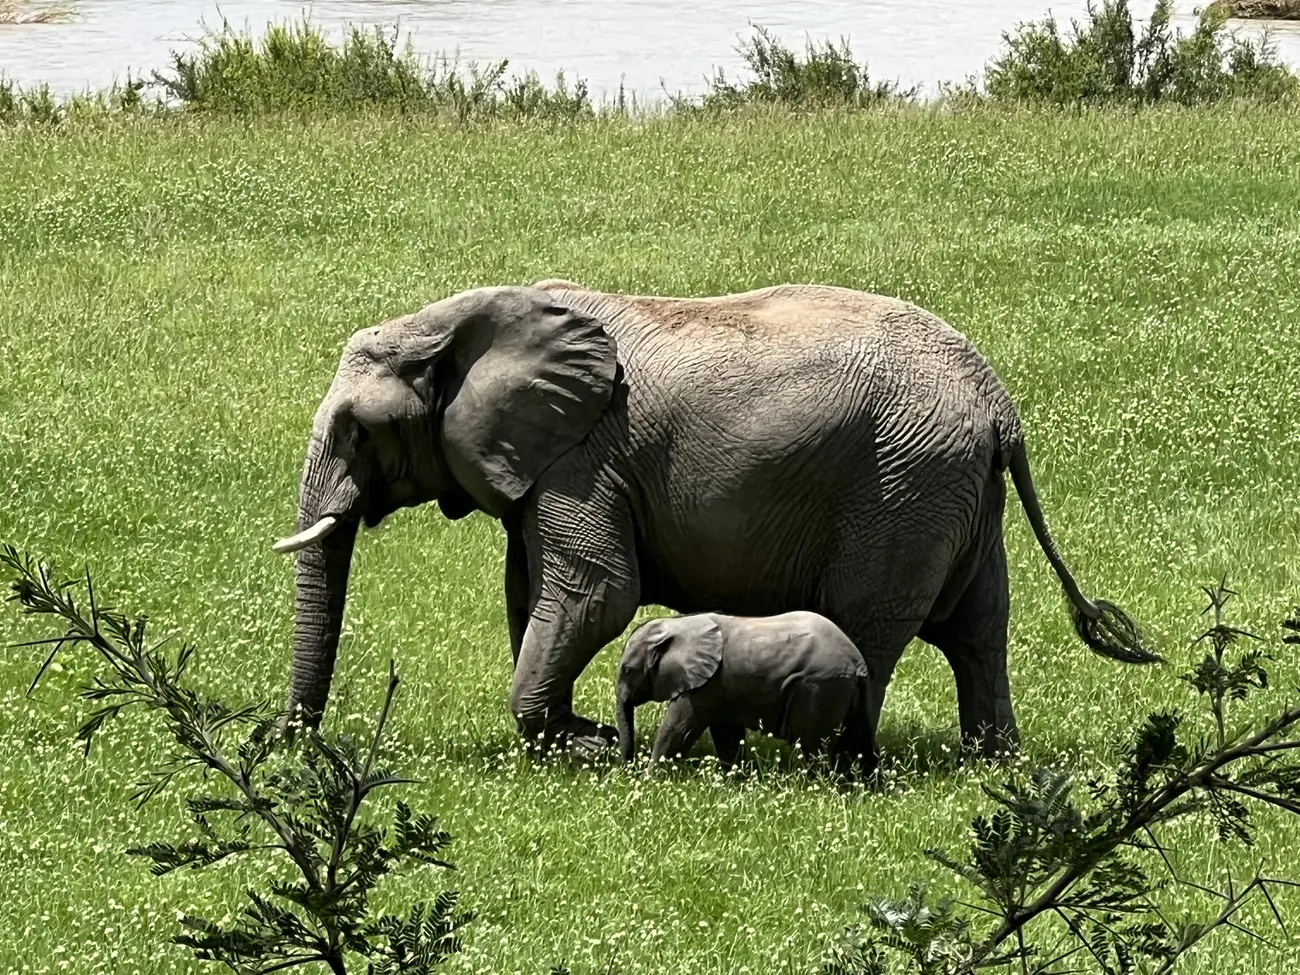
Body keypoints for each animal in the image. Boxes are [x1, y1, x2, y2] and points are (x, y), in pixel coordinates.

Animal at [271, 279, 1160, 758]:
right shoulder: (543, 469)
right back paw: (990, 760)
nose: (291, 744)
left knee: (870, 620)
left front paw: (583, 748)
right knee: (980, 628)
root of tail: (999, 402)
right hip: (954, 489)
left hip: (904, 484)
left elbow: (597, 594)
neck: (457, 316)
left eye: (357, 429)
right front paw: (573, 737)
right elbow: (530, 594)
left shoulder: (585, 457)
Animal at [614, 611, 876, 775]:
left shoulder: (705, 684)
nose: (625, 772)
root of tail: (857, 662)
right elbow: (726, 733)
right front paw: (735, 781)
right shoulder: (720, 687)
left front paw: (649, 782)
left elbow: (678, 729)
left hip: (819, 687)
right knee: (859, 738)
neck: (677, 625)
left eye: (627, 670)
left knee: (809, 743)